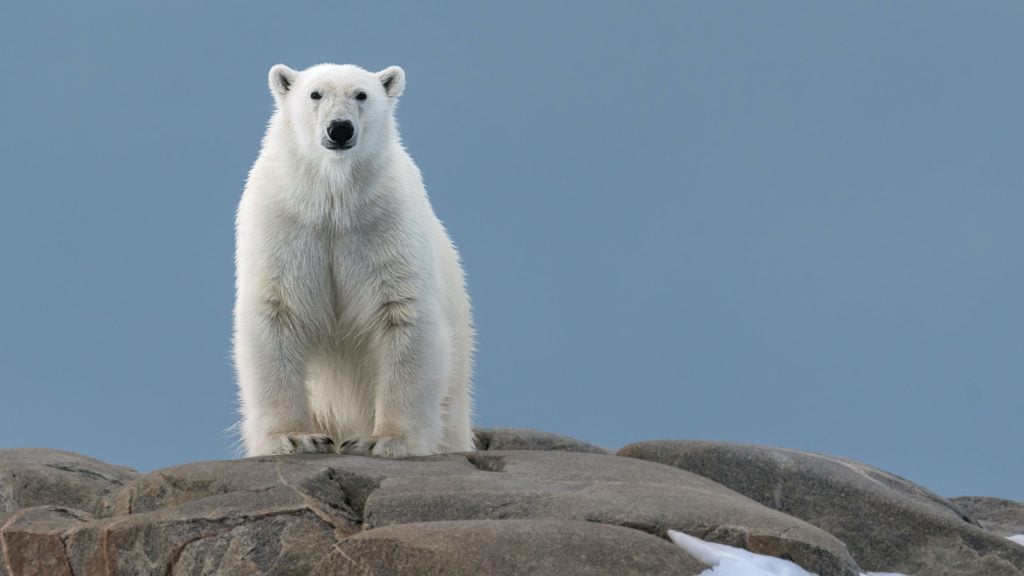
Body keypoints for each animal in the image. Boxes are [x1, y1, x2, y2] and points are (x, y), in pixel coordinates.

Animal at [233, 62, 475, 457]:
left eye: (361, 95)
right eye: (315, 94)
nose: (340, 128)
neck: (333, 197)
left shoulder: (385, 225)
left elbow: (402, 314)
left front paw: (386, 440)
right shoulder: (284, 223)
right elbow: (277, 313)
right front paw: (294, 437)